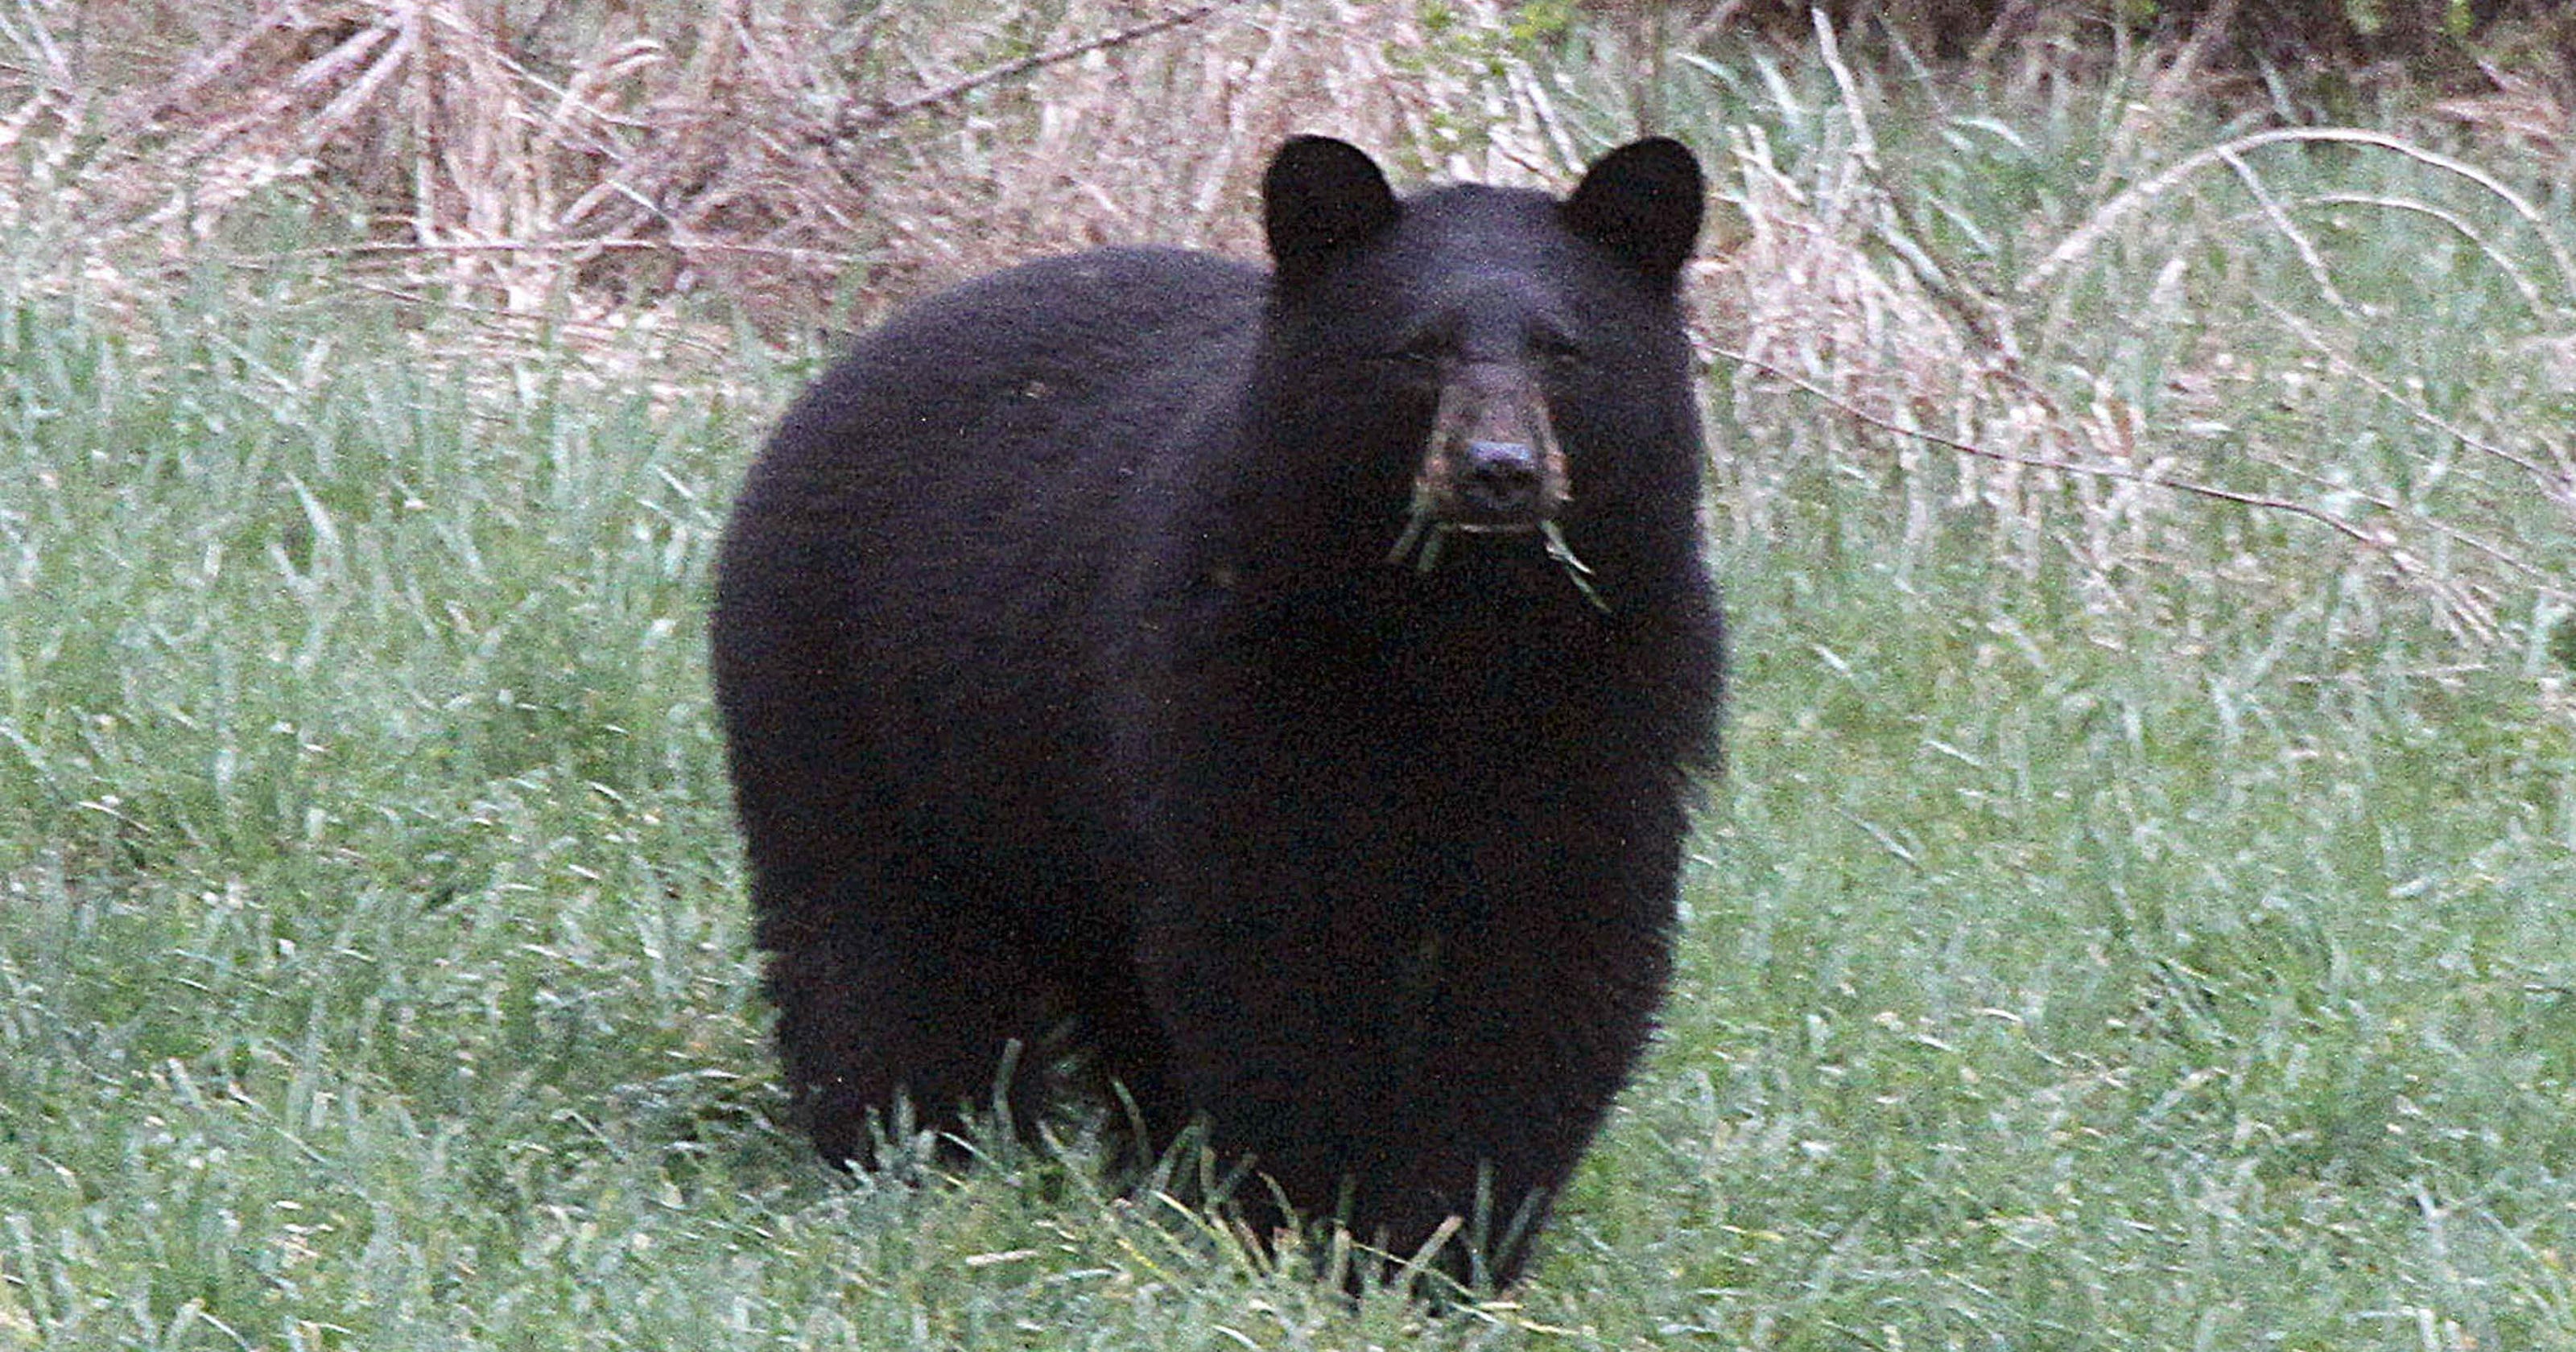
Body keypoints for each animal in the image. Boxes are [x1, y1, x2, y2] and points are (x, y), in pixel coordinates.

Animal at [709, 134, 1724, 1288]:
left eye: (1562, 351)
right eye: (1418, 350)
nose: (1496, 473)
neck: (1459, 633)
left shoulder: (1613, 705)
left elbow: (1550, 965)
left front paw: (1445, 1248)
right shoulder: (1238, 679)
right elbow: (1269, 950)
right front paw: (1308, 1223)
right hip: (851, 692)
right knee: (875, 935)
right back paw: (912, 1145)